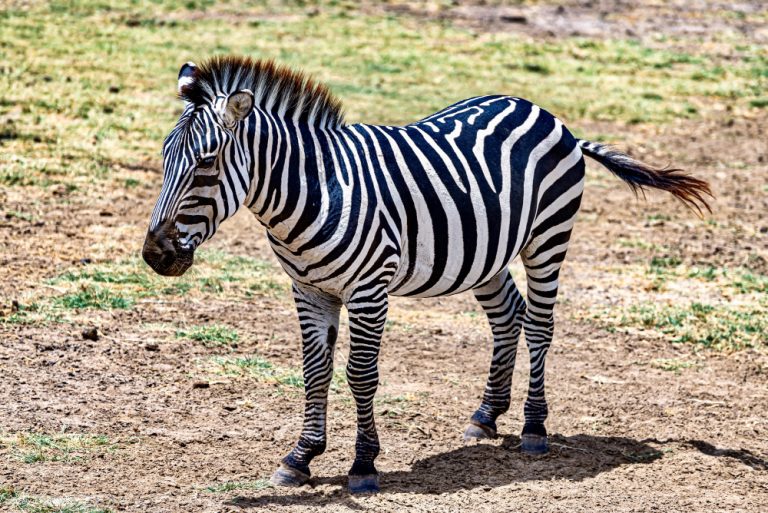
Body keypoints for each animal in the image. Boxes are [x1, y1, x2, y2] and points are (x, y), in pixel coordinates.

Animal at [142, 56, 710, 494]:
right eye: (165, 156)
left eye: (208, 163)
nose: (154, 255)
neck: (316, 189)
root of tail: (543, 111)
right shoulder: (309, 289)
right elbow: (314, 372)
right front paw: (300, 458)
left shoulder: (369, 289)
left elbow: (360, 375)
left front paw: (363, 465)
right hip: (486, 253)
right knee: (509, 317)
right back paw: (486, 416)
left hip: (548, 239)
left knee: (540, 326)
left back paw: (533, 427)